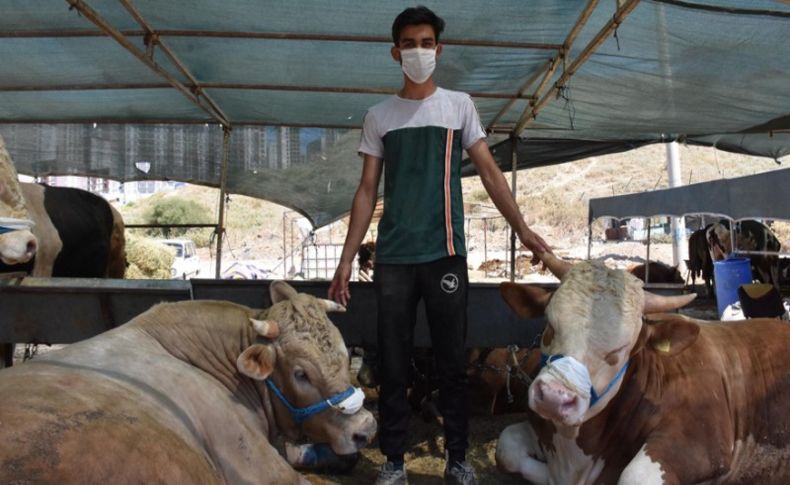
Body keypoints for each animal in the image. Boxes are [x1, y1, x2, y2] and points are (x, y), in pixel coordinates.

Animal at [498, 253, 788, 484]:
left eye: (619, 351)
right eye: (550, 325)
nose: (554, 398)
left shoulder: (705, 441)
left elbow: (634, 476)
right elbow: (506, 446)